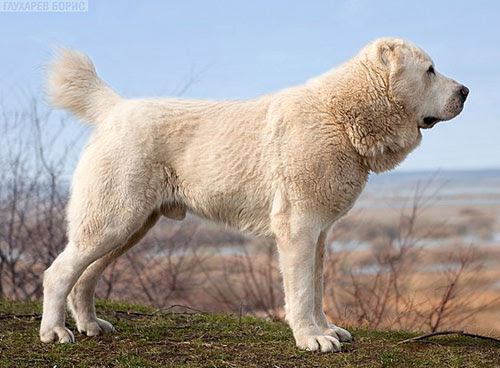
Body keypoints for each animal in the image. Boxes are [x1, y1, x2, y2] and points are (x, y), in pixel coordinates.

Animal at [40, 38, 468, 352]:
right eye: (430, 70)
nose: (465, 90)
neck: (342, 116)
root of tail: (115, 109)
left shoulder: (319, 233)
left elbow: (316, 287)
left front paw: (326, 329)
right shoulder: (298, 228)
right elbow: (301, 291)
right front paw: (310, 338)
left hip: (130, 227)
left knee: (84, 276)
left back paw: (90, 325)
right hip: (114, 220)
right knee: (58, 273)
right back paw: (54, 333)